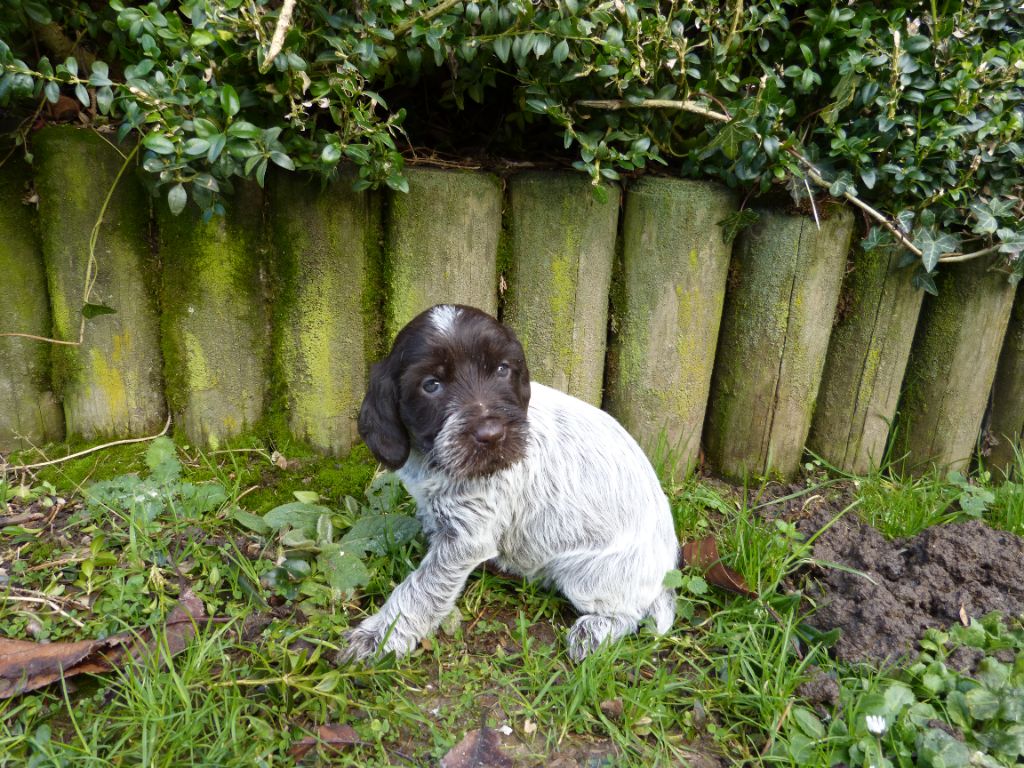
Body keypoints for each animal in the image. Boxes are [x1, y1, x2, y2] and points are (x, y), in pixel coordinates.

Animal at [346, 305, 679, 663]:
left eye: (502, 370)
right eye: (431, 385)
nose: (492, 435)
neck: (436, 460)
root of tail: (665, 573)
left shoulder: (466, 539)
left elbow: (421, 588)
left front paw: (380, 636)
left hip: (586, 576)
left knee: (629, 614)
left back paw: (593, 631)